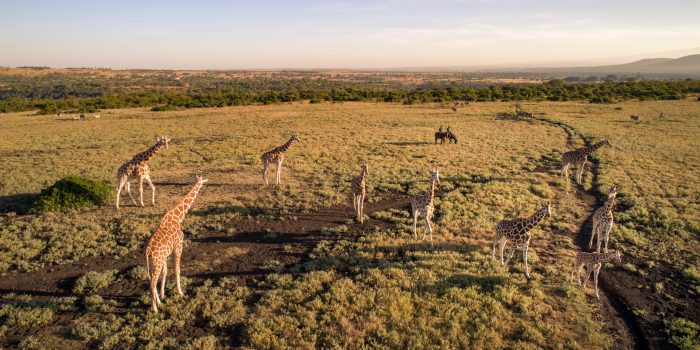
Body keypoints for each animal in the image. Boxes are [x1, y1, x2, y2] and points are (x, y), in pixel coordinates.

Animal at [144, 175, 206, 312]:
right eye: (201, 180)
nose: (203, 183)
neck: (178, 218)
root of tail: (148, 251)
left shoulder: (166, 254)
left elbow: (165, 272)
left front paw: (162, 295)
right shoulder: (178, 247)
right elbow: (177, 269)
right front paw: (180, 292)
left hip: (154, 262)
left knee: (151, 279)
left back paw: (158, 303)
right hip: (158, 261)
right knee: (152, 281)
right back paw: (155, 309)